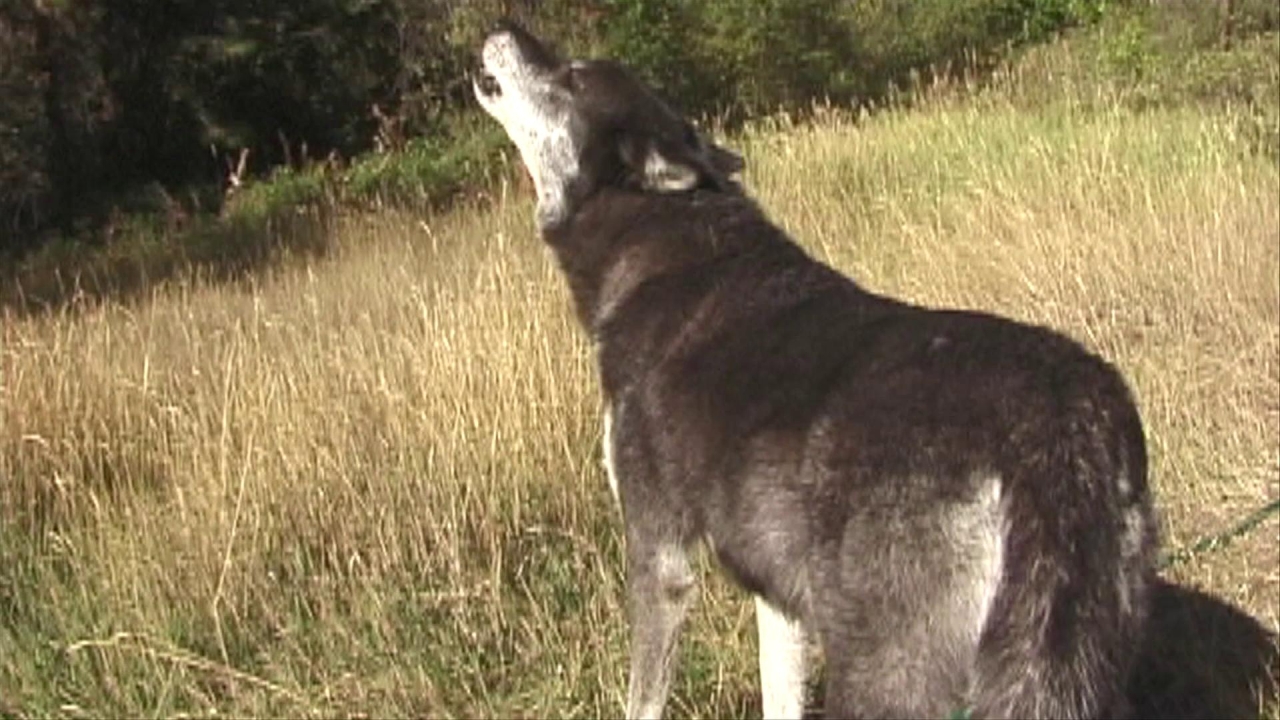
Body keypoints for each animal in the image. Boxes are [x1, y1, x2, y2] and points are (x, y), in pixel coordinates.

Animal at [473, 21, 1158, 720]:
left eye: (573, 77)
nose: (504, 27)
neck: (659, 250)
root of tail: (1057, 432)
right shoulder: (776, 595)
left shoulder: (660, 558)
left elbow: (642, 700)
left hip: (883, 677)